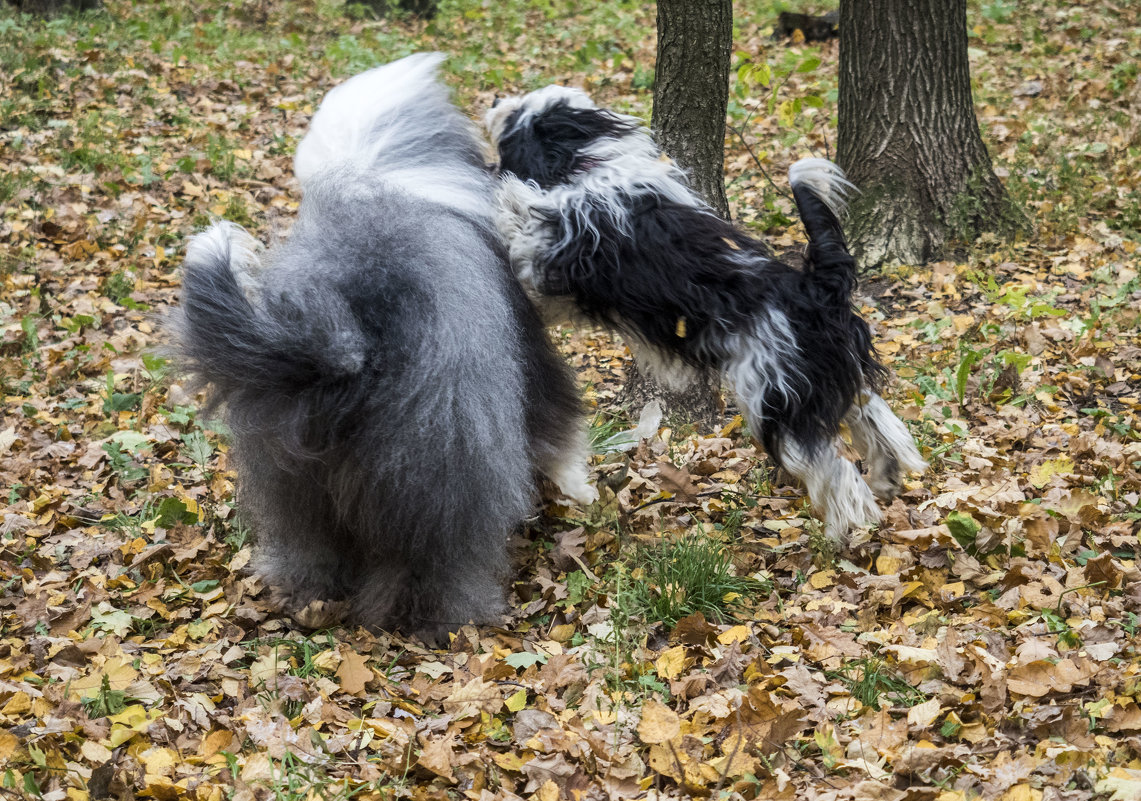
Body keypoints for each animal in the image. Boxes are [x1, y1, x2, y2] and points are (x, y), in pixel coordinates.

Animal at [171, 54, 597, 648]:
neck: (376, 170)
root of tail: (343, 344)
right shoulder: (533, 357)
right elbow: (560, 430)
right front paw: (580, 489)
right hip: (443, 464)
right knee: (433, 561)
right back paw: (438, 620)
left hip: (291, 473)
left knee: (311, 545)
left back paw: (309, 593)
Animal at [486, 87, 921, 545]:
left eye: (515, 114)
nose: (495, 100)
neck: (587, 166)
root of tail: (813, 287)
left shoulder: (556, 252)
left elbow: (519, 215)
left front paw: (501, 191)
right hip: (822, 378)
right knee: (873, 416)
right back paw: (888, 475)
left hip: (776, 398)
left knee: (834, 470)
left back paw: (843, 530)